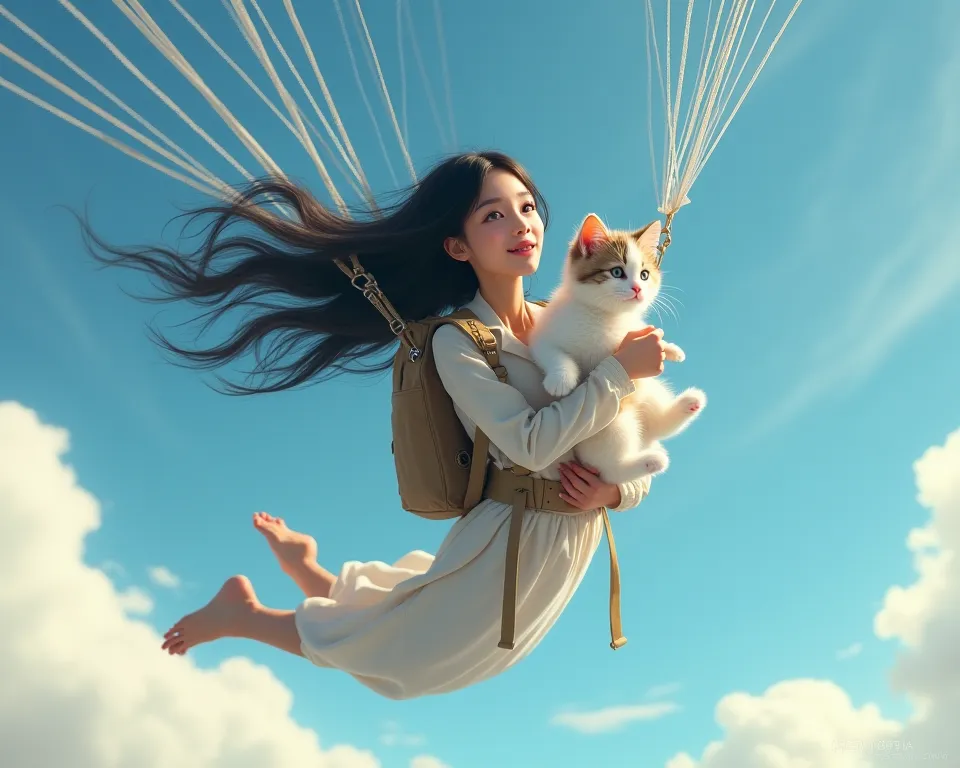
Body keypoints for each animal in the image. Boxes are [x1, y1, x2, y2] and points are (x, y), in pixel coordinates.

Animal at [524, 213, 704, 484]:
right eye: (617, 271)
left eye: (644, 275)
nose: (638, 289)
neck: (606, 316)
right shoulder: (544, 333)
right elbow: (552, 352)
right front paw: (561, 379)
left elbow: (648, 334)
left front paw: (671, 349)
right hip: (609, 425)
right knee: (608, 472)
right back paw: (650, 461)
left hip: (647, 391)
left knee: (658, 424)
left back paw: (689, 404)